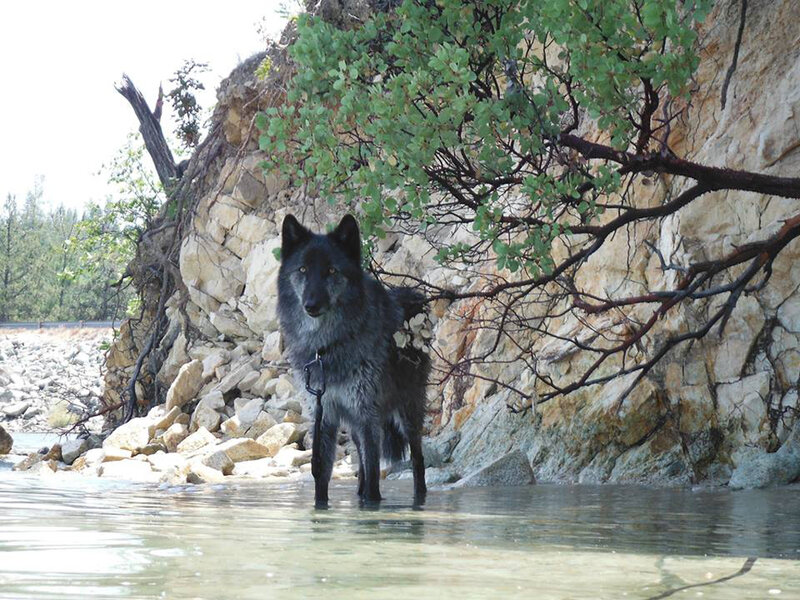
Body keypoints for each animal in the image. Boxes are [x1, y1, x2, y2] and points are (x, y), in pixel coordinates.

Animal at [277, 214, 430, 505]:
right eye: (302, 269)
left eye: (331, 271)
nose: (311, 305)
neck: (326, 348)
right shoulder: (325, 415)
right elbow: (322, 479)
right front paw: (322, 509)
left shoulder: (367, 414)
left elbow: (373, 476)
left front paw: (371, 506)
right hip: (355, 425)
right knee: (360, 460)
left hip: (406, 414)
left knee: (417, 460)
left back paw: (419, 498)